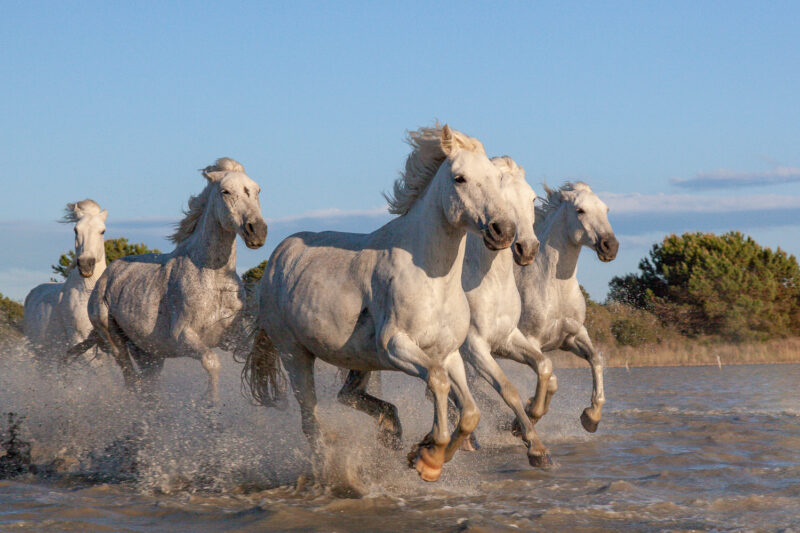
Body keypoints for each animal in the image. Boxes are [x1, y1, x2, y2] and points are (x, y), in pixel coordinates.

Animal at [24, 200, 108, 366]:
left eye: (102, 231)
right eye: (76, 230)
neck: (87, 294)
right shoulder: (81, 343)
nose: (86, 265)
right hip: (42, 357)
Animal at [76, 157, 268, 400]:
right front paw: (210, 405)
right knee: (132, 382)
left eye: (257, 190)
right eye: (225, 191)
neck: (214, 280)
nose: (257, 231)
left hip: (150, 353)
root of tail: (105, 277)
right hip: (115, 342)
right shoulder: (183, 338)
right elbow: (212, 362)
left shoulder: (232, 338)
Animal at [245, 125, 520, 482]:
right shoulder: (396, 346)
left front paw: (424, 453)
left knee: (347, 398)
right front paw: (429, 458)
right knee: (310, 422)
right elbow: (438, 381)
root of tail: (279, 256)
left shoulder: (449, 353)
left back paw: (389, 431)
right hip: (295, 355)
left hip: (357, 359)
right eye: (459, 178)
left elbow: (470, 412)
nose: (504, 230)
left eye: (496, 177)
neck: (433, 278)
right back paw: (331, 472)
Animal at [516, 183, 620, 432]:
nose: (610, 246)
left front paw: (591, 416)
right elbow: (549, 376)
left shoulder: (572, 337)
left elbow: (596, 359)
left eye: (606, 209)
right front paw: (528, 413)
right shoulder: (531, 340)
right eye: (580, 210)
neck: (555, 290)